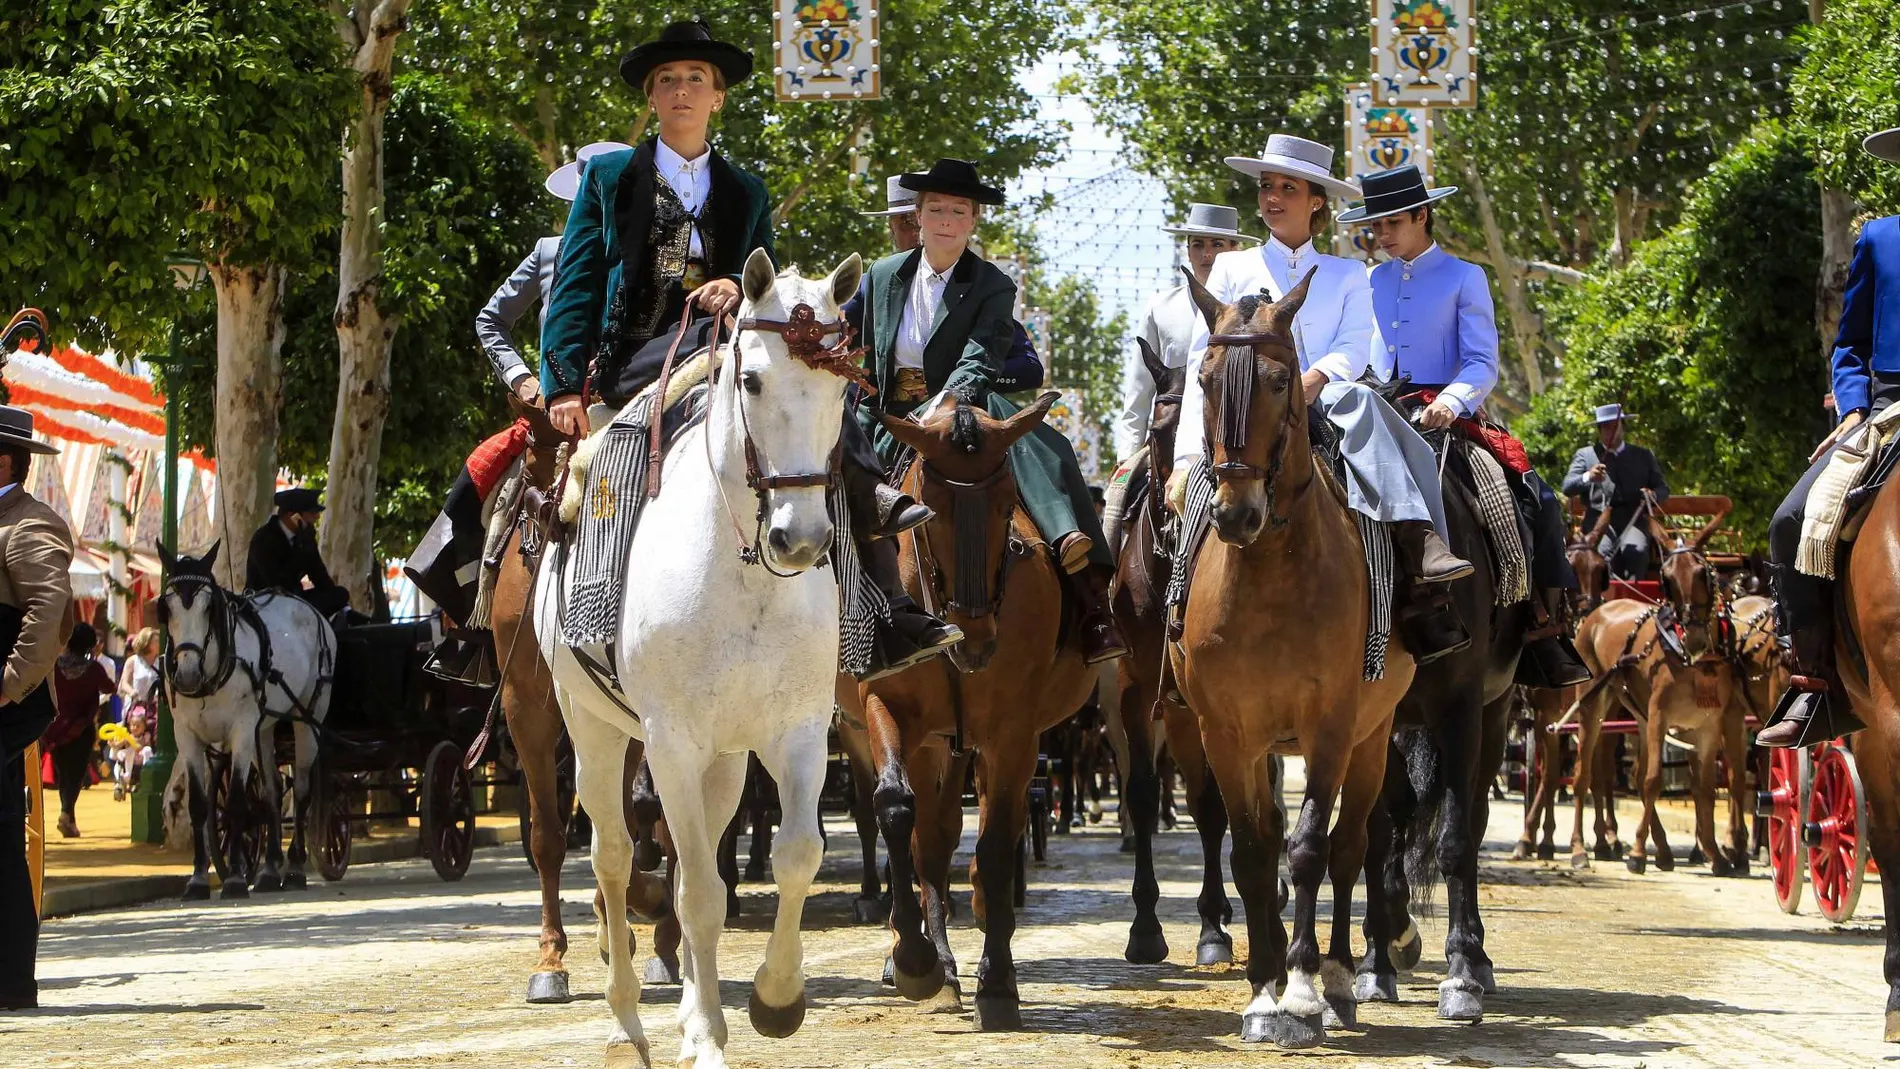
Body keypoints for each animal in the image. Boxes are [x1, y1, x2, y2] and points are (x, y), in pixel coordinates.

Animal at [157, 543, 336, 903]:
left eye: (209, 607)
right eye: (166, 608)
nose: (187, 675)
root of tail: (313, 611)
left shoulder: (240, 731)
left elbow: (238, 802)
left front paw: (236, 878)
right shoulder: (186, 735)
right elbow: (198, 806)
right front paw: (198, 879)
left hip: (308, 719)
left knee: (302, 791)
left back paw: (294, 868)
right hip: (264, 728)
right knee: (273, 791)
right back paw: (269, 870)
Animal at [535, 250, 862, 1069]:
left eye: (842, 386)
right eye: (751, 380)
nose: (800, 539)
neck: (743, 573)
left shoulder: (798, 733)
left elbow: (796, 854)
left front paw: (776, 999)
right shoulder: (671, 742)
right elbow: (700, 896)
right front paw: (711, 1035)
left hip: (725, 760)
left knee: (696, 856)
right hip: (592, 728)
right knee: (616, 857)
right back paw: (627, 1024)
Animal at [839, 391, 1094, 1025]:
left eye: (1007, 505)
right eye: (928, 510)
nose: (977, 640)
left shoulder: (1012, 733)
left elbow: (998, 841)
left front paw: (997, 982)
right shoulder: (886, 706)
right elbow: (895, 809)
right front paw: (914, 958)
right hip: (931, 742)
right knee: (927, 838)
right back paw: (935, 961)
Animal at [1162, 271, 1421, 1048]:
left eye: (1280, 380)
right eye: (1206, 378)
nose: (1237, 512)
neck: (1271, 571)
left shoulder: (1330, 727)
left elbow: (1309, 849)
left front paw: (1303, 992)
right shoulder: (1226, 733)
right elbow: (1252, 852)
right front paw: (1262, 990)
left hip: (1372, 737)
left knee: (1350, 844)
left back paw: (1338, 977)